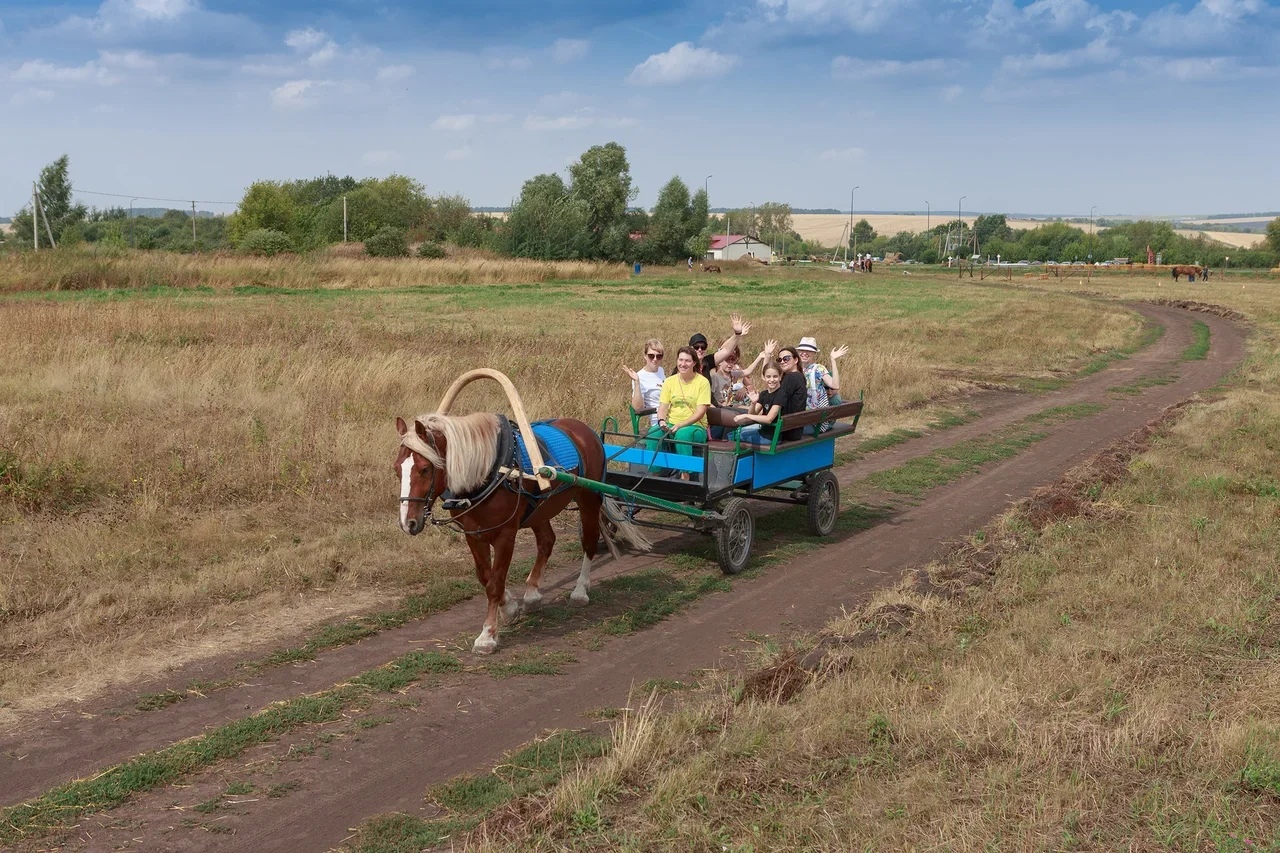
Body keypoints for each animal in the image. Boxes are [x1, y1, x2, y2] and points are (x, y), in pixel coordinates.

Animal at [391, 412, 645, 650]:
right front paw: (510, 608)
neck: (491, 472)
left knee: (589, 542)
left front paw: (487, 635)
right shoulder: (473, 535)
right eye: (396, 470)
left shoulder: (506, 535)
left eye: (425, 469)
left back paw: (580, 591)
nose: (407, 523)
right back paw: (532, 595)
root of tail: (584, 430)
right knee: (547, 541)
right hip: (539, 508)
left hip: (589, 499)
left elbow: (495, 583)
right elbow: (485, 577)